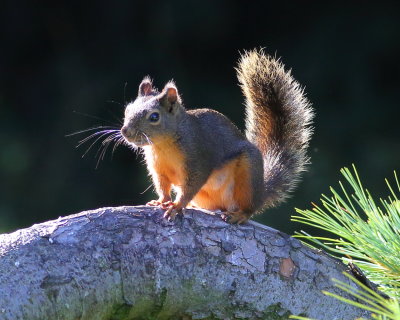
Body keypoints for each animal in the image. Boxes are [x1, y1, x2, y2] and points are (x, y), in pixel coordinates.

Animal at [120, 48, 314, 224]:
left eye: (154, 117)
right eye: (127, 109)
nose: (125, 131)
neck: (163, 145)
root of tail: (261, 192)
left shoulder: (197, 160)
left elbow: (189, 187)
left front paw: (176, 206)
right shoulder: (158, 169)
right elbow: (163, 186)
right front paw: (161, 201)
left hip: (248, 177)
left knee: (249, 208)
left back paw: (239, 215)